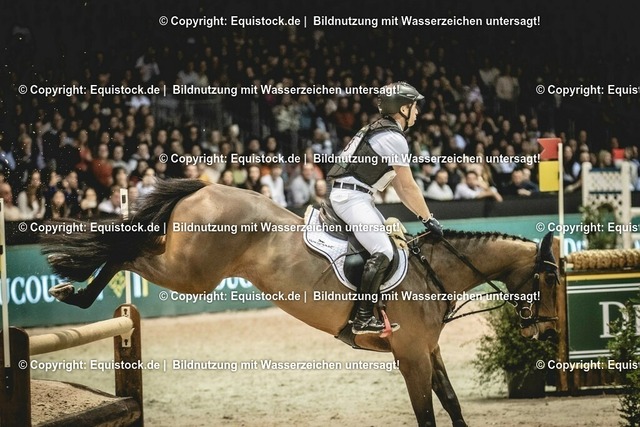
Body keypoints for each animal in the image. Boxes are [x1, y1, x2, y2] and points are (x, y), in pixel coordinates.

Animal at [41, 179, 559, 427]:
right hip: (189, 273)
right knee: (125, 252)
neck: (435, 273)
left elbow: (451, 405)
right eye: (550, 281)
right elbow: (428, 415)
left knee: (130, 246)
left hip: (182, 261)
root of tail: (207, 187)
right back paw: (77, 294)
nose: (548, 332)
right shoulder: (411, 356)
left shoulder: (427, 350)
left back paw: (75, 291)